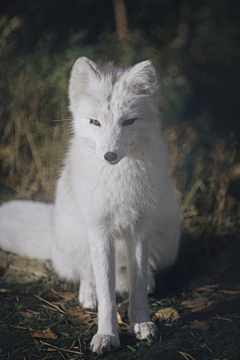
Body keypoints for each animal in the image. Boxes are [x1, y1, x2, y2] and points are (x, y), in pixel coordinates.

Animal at [0, 57, 180, 354]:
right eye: (95, 122)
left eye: (128, 121)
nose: (109, 155)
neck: (117, 182)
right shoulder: (99, 230)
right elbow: (106, 293)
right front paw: (106, 335)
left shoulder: (138, 229)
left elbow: (138, 280)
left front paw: (141, 323)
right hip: (76, 238)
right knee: (86, 273)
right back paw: (88, 294)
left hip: (167, 239)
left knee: (142, 273)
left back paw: (146, 284)